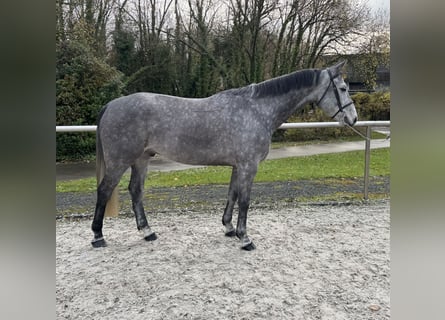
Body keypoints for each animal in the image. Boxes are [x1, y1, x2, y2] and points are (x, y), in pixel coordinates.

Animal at [91, 60, 358, 250]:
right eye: (343, 88)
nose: (353, 118)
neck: (257, 110)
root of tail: (111, 105)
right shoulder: (249, 166)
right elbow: (245, 200)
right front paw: (245, 238)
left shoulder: (238, 166)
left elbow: (232, 194)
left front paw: (229, 228)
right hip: (120, 161)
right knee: (104, 190)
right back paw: (98, 236)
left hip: (142, 159)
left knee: (136, 190)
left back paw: (147, 232)